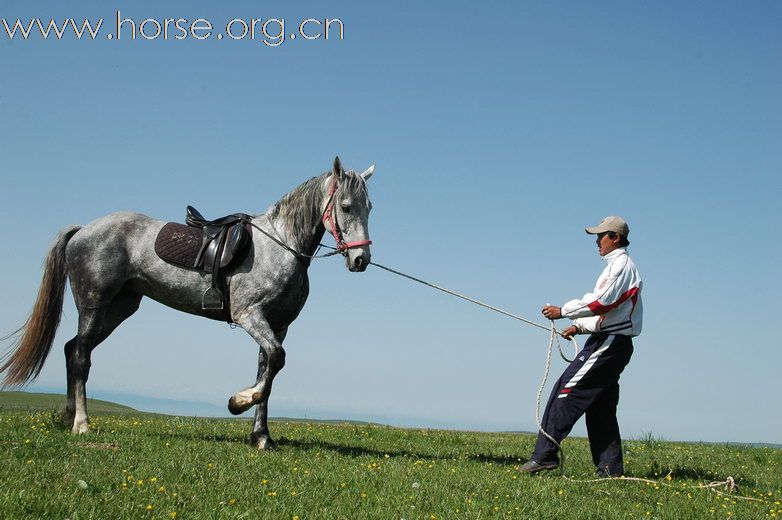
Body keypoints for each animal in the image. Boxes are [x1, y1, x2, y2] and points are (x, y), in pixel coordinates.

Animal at [0, 156, 376, 448]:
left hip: (119, 308)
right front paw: (237, 402)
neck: (280, 245)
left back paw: (67, 416)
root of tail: (82, 230)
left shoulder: (276, 325)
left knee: (72, 349)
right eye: (345, 207)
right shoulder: (251, 316)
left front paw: (261, 436)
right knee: (80, 356)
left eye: (369, 208)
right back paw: (81, 423)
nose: (361, 259)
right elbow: (275, 362)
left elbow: (268, 371)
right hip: (94, 304)